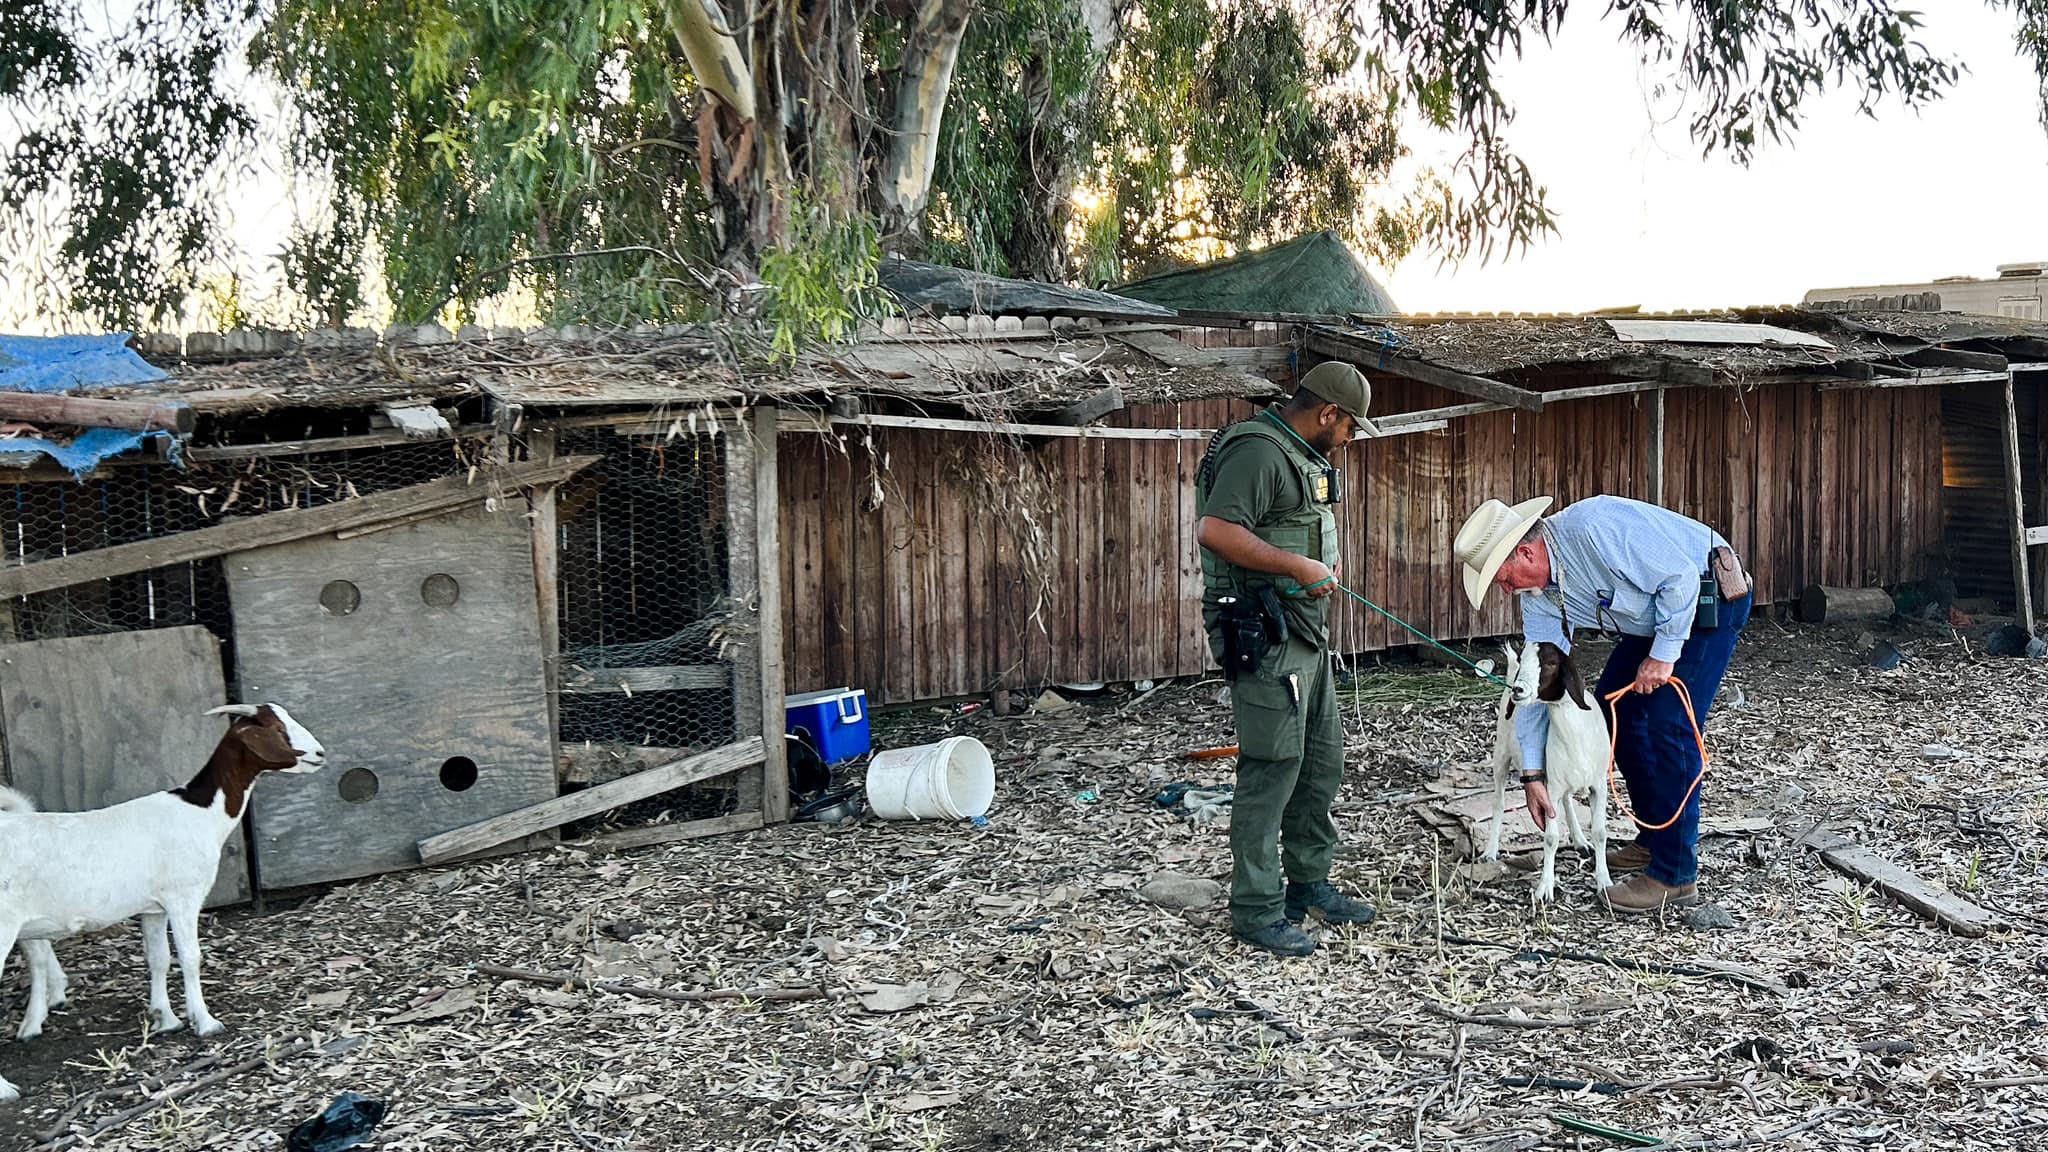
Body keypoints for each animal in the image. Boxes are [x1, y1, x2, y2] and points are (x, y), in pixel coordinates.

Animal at [0, 696, 323, 1098]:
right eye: (278, 730)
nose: (319, 754)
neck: (200, 812)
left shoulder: (154, 908)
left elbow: (158, 959)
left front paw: (165, 1019)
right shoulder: (183, 896)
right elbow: (190, 957)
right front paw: (205, 1022)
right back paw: (7, 1089)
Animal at [1490, 639, 1613, 901]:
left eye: (1550, 663)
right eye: (1524, 660)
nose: (1518, 690)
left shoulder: (1598, 785)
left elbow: (1600, 832)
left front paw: (1604, 881)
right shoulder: (1550, 791)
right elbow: (1550, 838)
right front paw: (1545, 887)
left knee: (1567, 800)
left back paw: (1580, 840)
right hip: (1501, 754)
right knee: (1498, 802)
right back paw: (1489, 852)